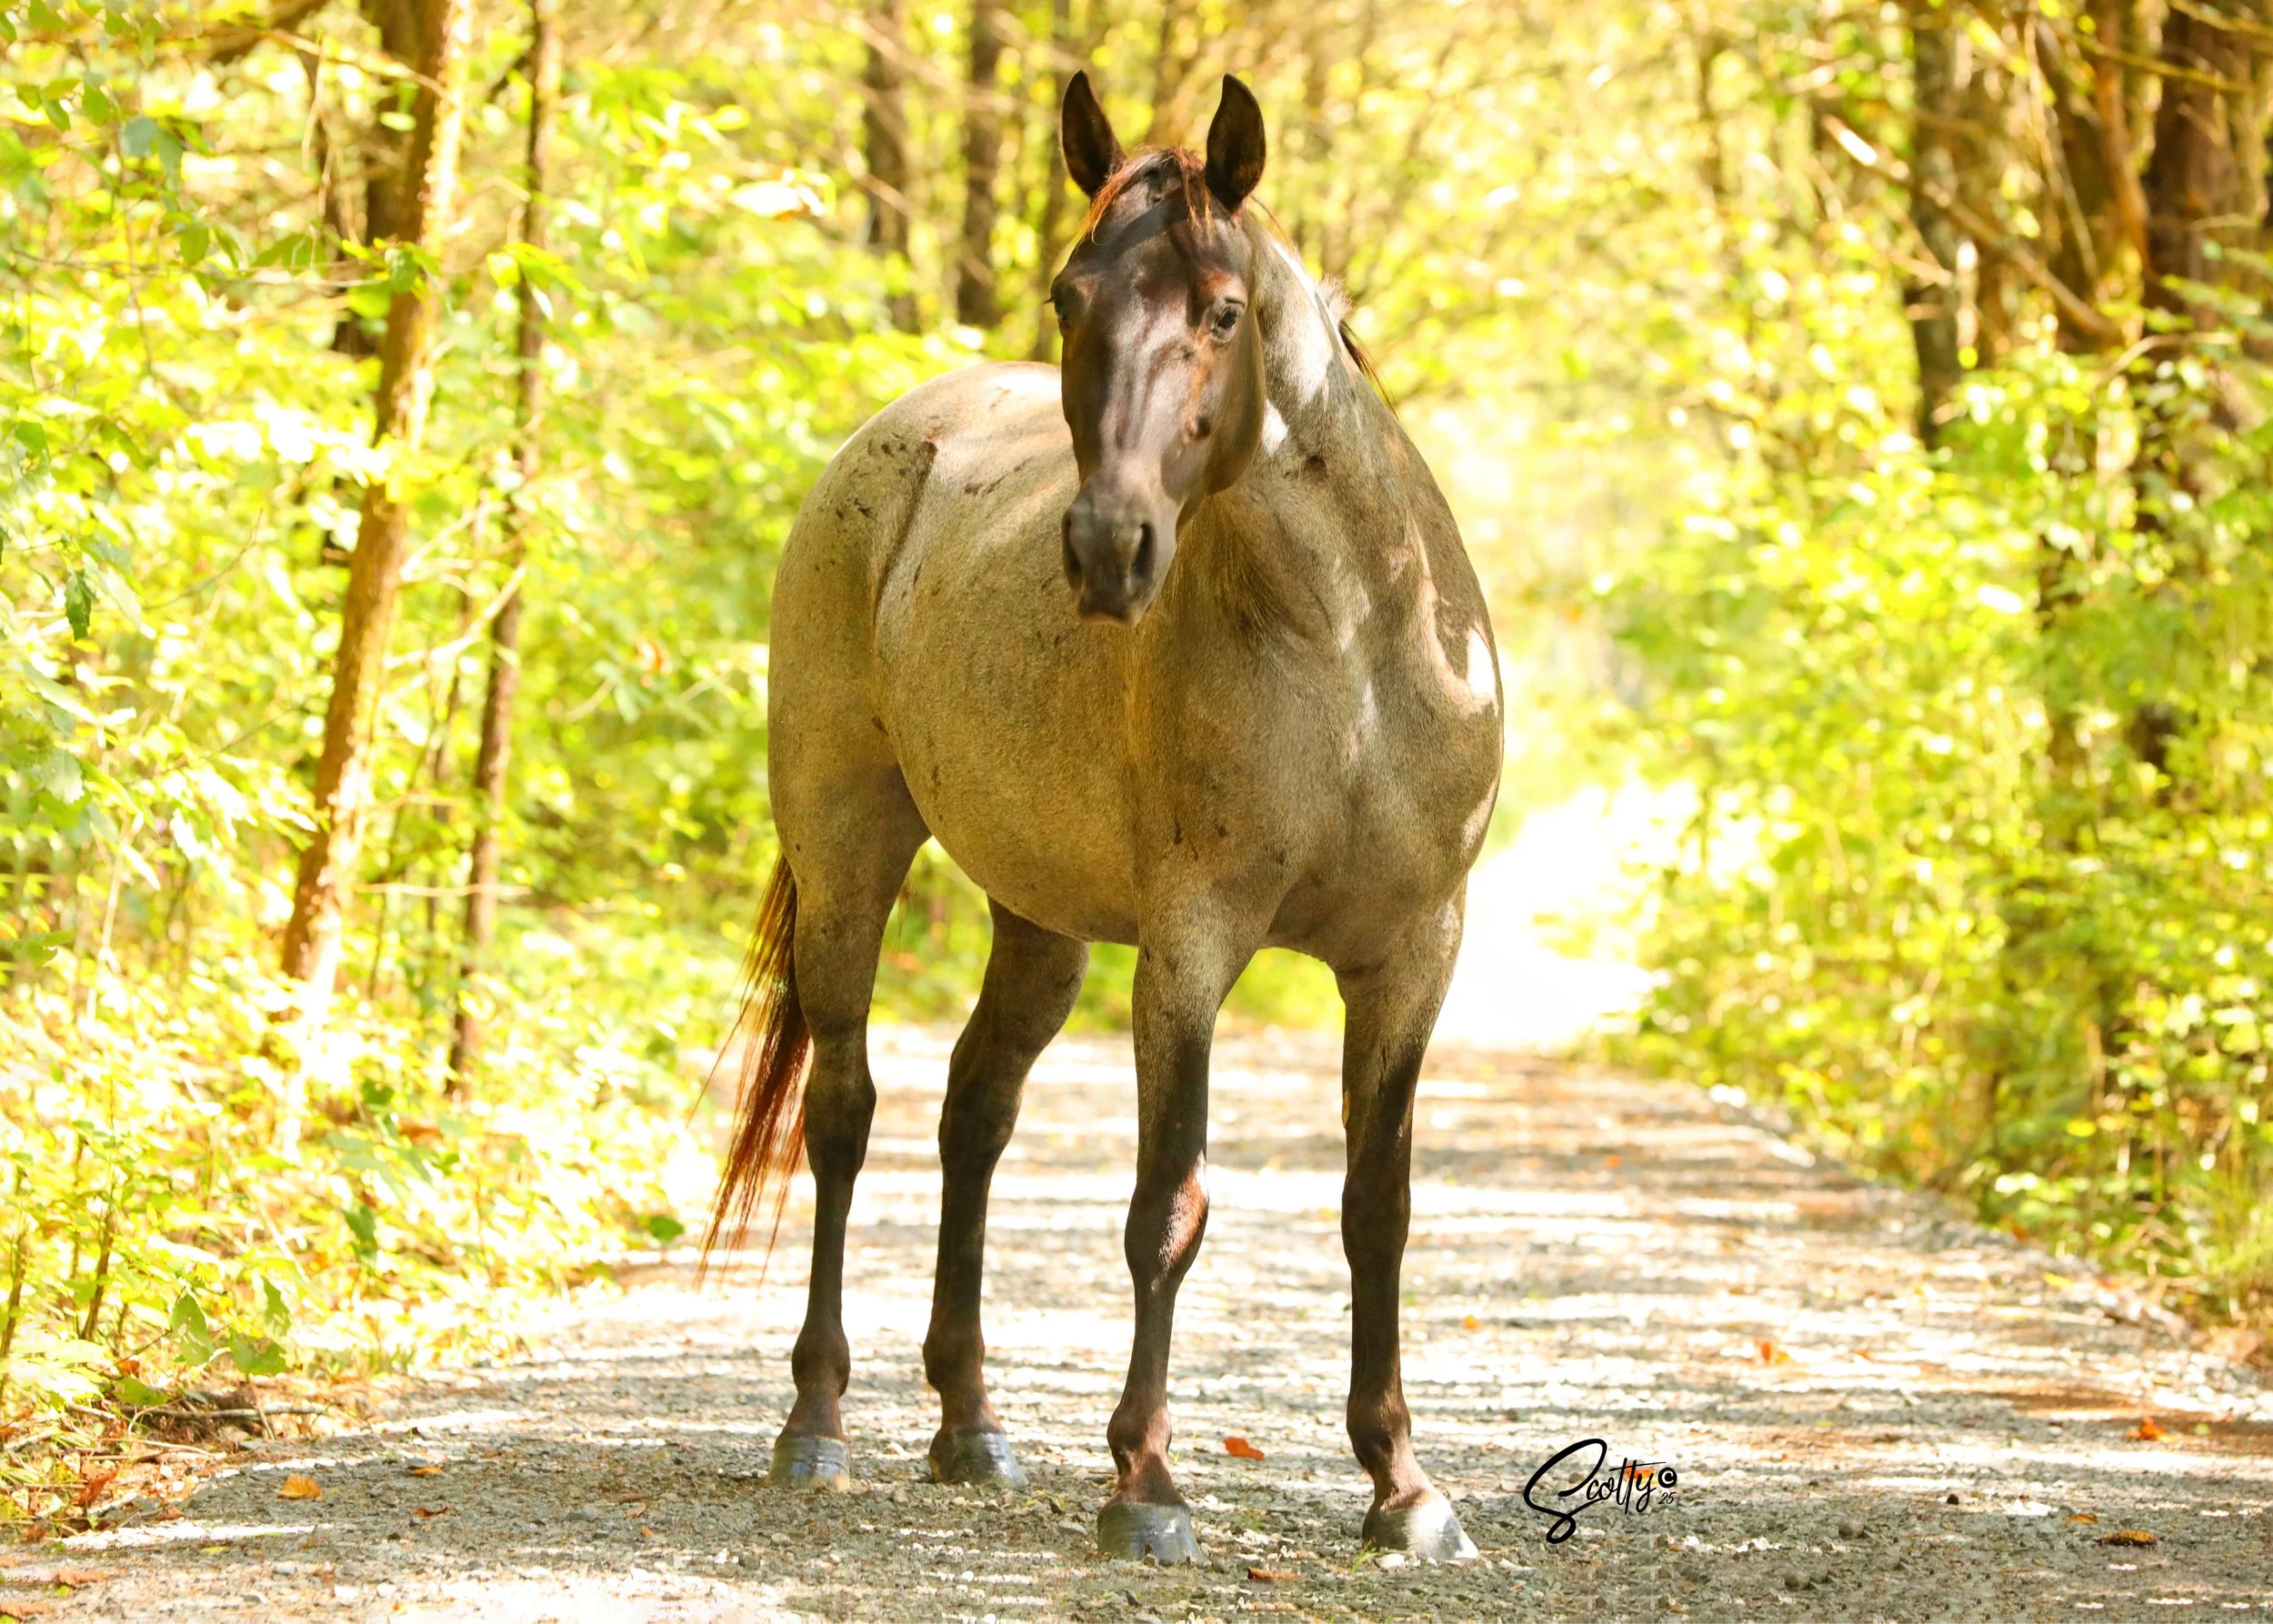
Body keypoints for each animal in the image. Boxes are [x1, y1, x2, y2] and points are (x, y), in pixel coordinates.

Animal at [705, 70, 1504, 1563]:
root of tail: (885, 448)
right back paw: (816, 1421)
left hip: (1039, 922)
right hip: (848, 857)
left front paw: (1402, 1484)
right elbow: (1166, 1207)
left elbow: (1379, 1208)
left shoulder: (1413, 958)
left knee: (974, 1113)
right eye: (1071, 297)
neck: (1355, 661)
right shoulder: (1191, 949)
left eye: (1225, 312)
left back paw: (970, 1422)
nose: (1107, 548)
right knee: (844, 1112)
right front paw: (1146, 1482)